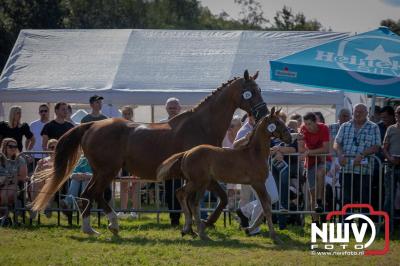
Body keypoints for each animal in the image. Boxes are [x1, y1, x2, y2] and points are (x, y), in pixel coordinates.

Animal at [32, 70, 268, 235]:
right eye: (252, 91)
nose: (264, 113)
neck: (202, 125)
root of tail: (91, 126)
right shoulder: (202, 176)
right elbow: (209, 199)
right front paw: (203, 224)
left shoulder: (203, 176)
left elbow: (218, 199)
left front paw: (198, 225)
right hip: (107, 171)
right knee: (91, 195)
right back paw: (103, 226)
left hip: (102, 172)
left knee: (90, 196)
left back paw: (100, 227)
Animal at [156, 108, 290, 243]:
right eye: (277, 122)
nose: (289, 137)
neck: (254, 154)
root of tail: (186, 153)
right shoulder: (258, 183)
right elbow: (266, 206)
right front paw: (274, 237)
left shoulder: (256, 184)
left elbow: (266, 204)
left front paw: (249, 229)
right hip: (199, 182)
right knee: (189, 199)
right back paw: (200, 233)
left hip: (198, 182)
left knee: (186, 198)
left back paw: (189, 230)